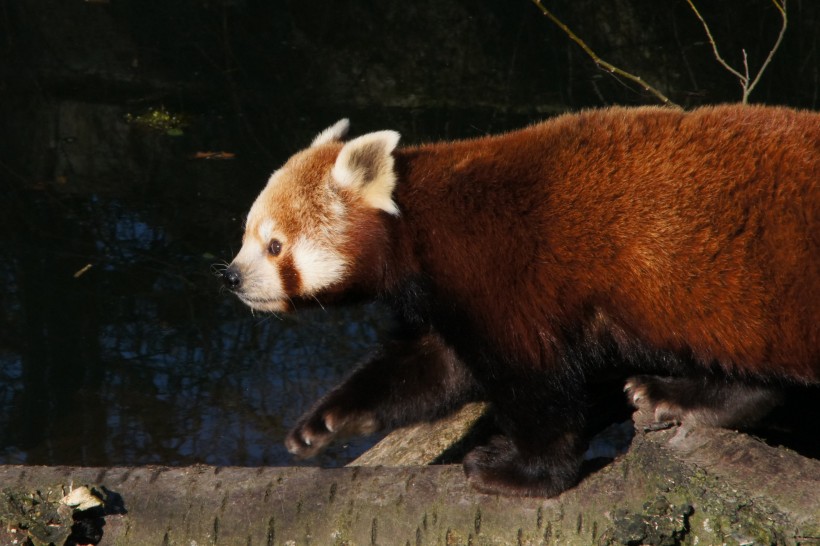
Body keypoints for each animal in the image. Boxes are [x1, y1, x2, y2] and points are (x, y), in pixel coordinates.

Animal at [224, 104, 820, 496]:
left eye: (275, 245)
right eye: (246, 234)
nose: (232, 277)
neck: (419, 228)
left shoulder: (506, 277)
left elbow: (537, 386)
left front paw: (519, 473)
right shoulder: (447, 302)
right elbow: (429, 370)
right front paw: (326, 422)